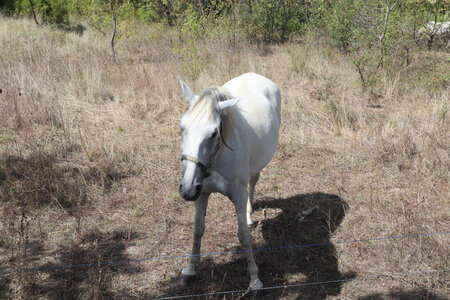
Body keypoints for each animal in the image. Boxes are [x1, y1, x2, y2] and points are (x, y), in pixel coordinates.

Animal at [178, 72, 282, 292]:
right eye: (182, 128)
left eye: (213, 133)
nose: (187, 190)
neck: (217, 159)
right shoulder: (202, 194)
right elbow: (198, 229)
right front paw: (190, 270)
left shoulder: (239, 195)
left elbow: (244, 235)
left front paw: (255, 280)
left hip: (256, 167)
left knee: (254, 181)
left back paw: (249, 215)